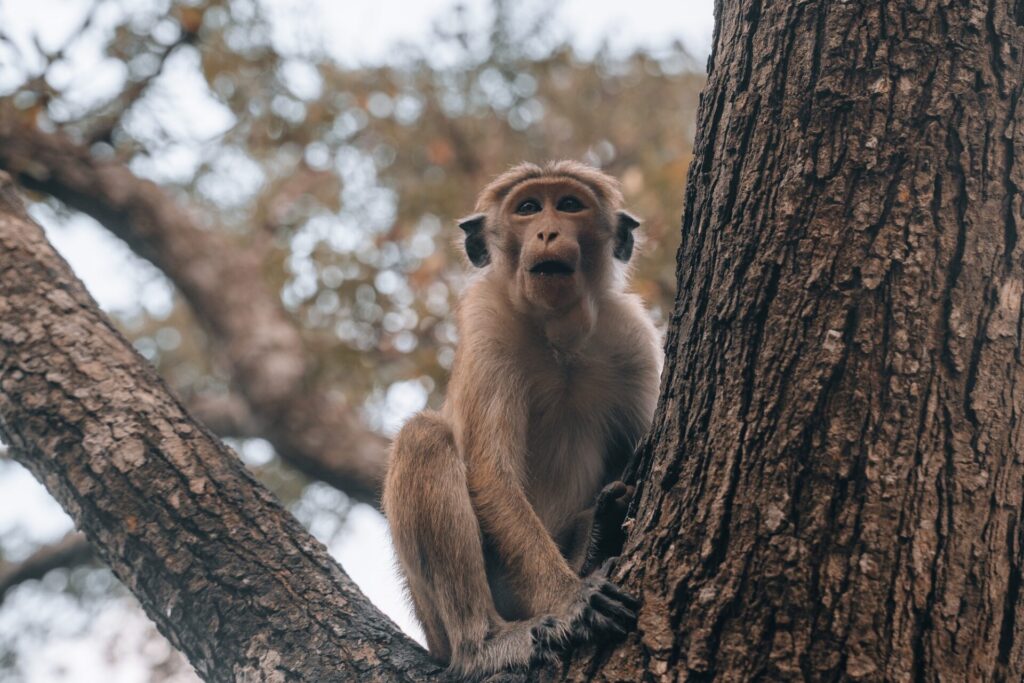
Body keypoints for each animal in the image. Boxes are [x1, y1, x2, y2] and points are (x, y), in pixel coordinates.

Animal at [385, 160, 663, 679]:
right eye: (529, 207)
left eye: (569, 205)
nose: (548, 231)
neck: (560, 335)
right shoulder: (488, 323)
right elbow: (491, 476)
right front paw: (572, 601)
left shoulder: (632, 337)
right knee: (423, 437)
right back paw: (485, 645)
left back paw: (595, 536)